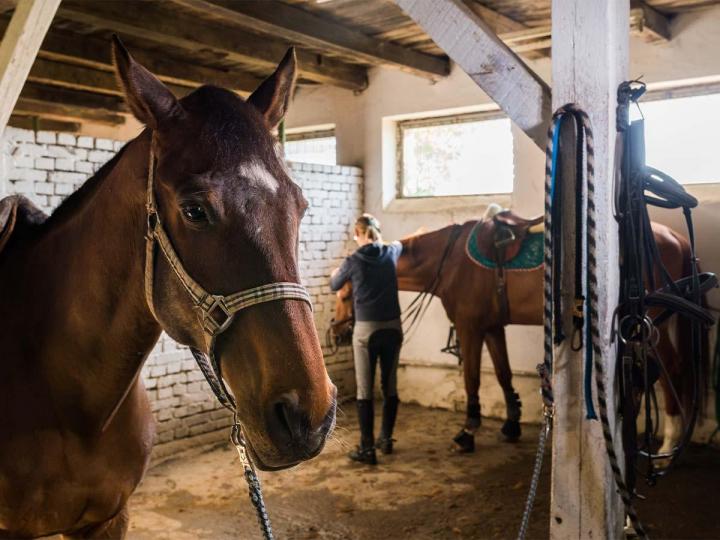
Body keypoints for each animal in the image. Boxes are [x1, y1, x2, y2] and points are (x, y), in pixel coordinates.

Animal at [333, 217, 705, 453]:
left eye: (343, 293)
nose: (337, 333)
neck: (449, 261)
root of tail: (676, 237)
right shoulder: (492, 327)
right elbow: (503, 374)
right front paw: (510, 424)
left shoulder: (469, 328)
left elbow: (472, 378)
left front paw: (467, 432)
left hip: (650, 324)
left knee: (670, 370)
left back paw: (669, 441)